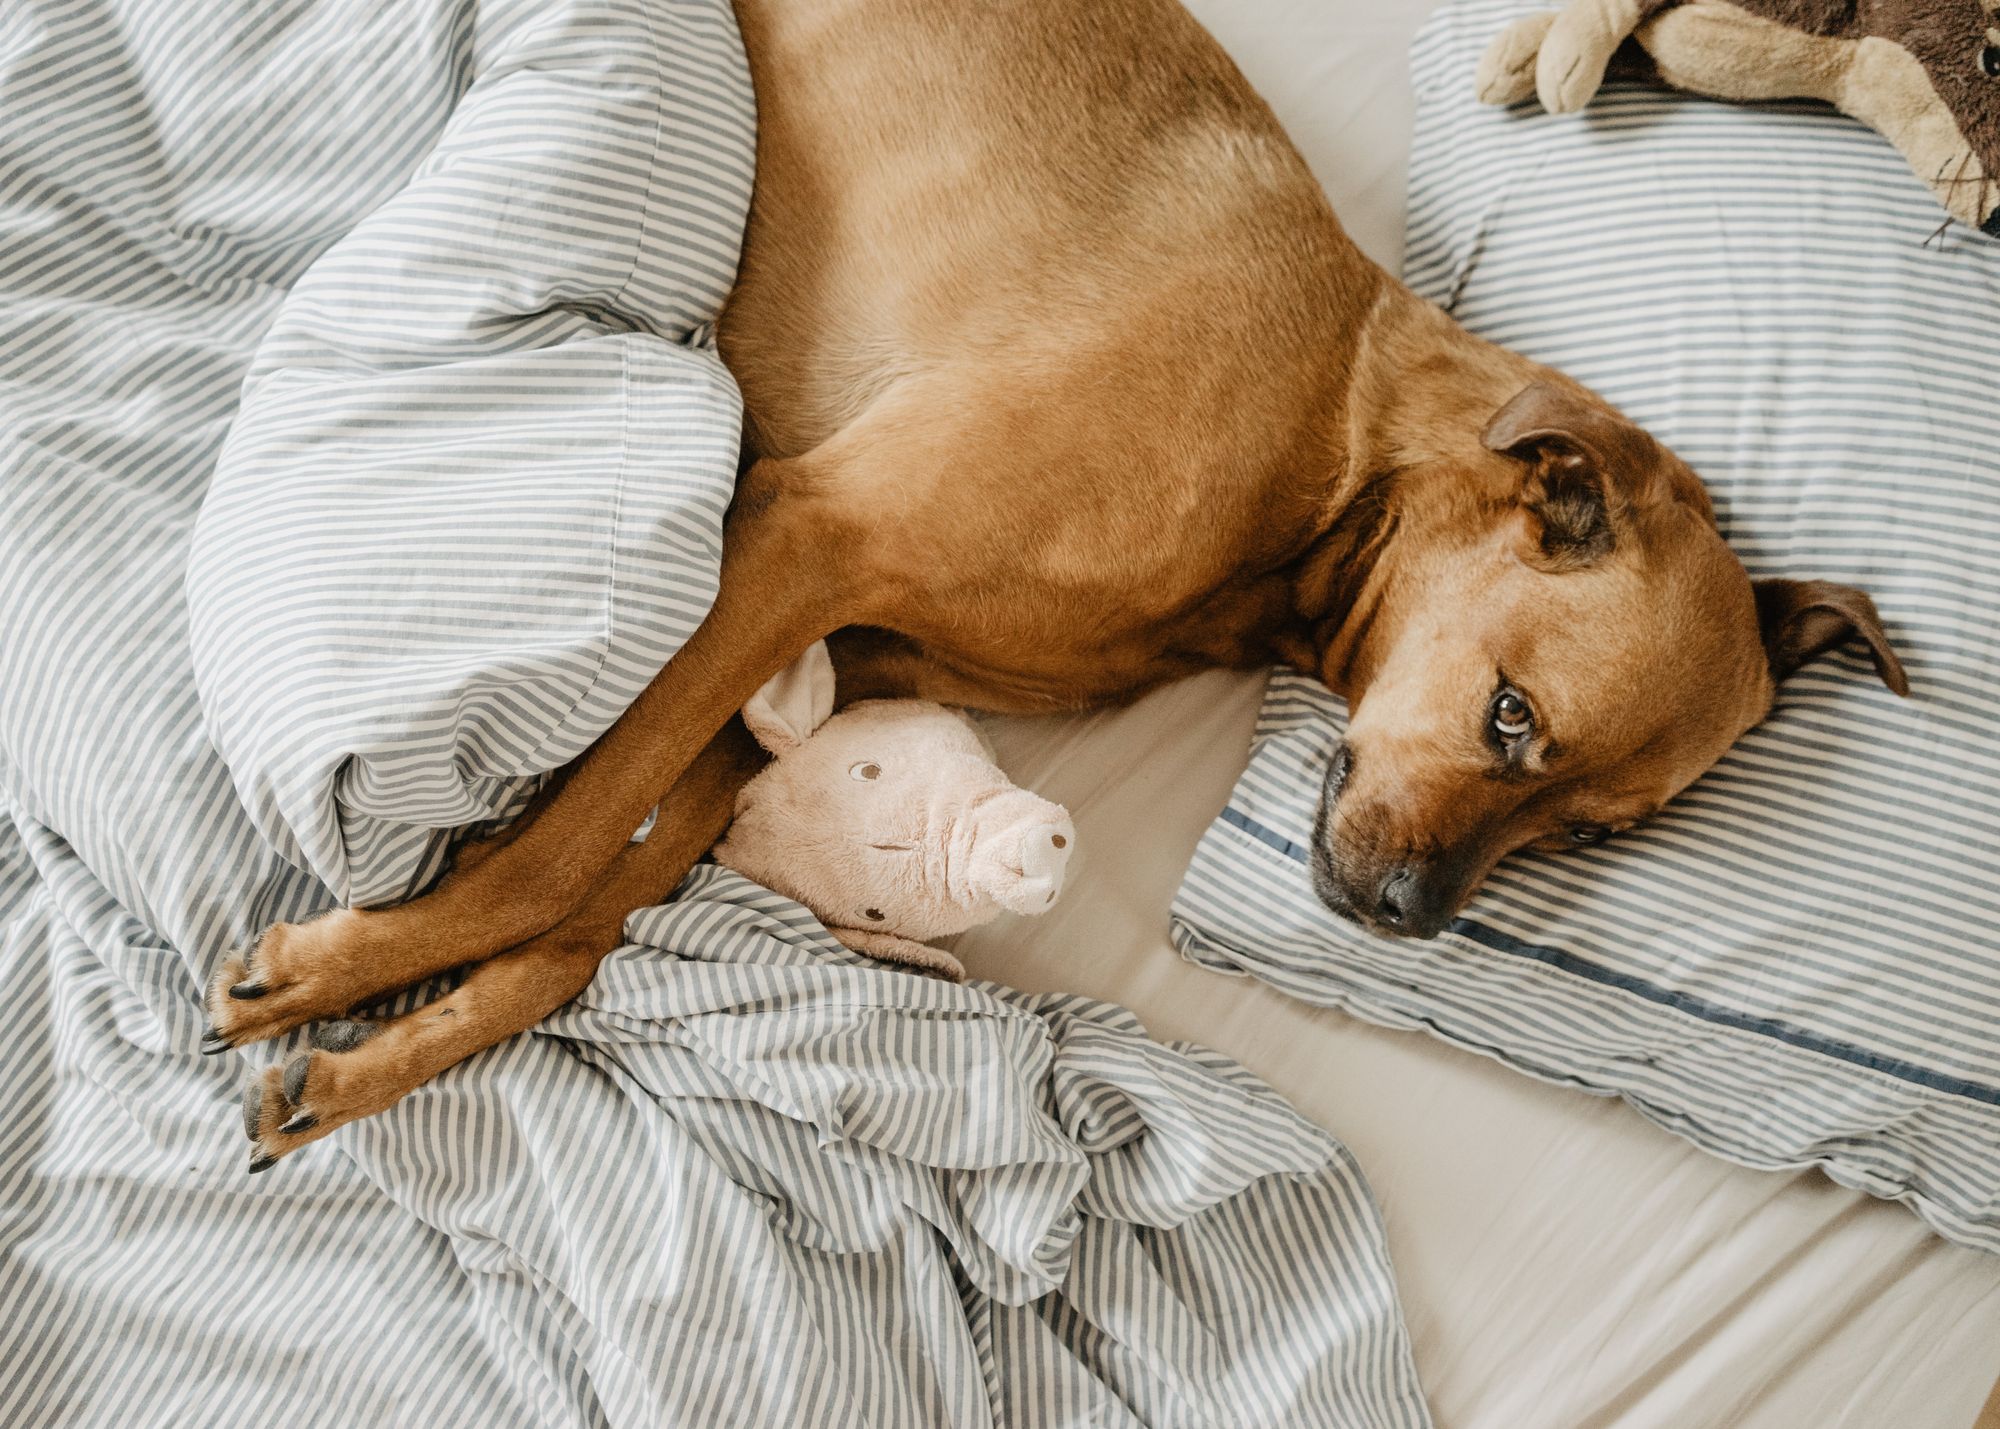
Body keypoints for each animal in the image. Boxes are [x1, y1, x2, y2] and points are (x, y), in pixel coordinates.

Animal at [215, 0, 1904, 1160]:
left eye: (1587, 833)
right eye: (1510, 720)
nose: (1411, 920)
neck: (1330, 458)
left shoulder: (832, 650)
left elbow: (594, 913)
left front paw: (371, 1051)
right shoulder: (807, 541)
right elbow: (565, 853)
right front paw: (336, 964)